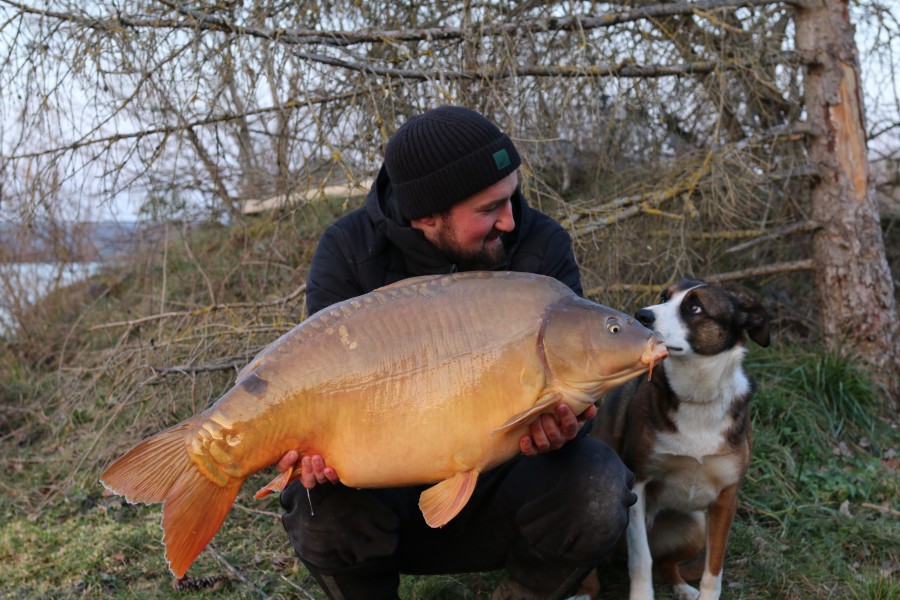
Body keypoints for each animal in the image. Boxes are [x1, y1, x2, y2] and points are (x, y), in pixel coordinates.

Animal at [580, 278, 768, 596]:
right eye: (662, 297)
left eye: (695, 307)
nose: (641, 315)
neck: (697, 398)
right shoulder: (639, 481)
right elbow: (641, 559)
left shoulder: (726, 498)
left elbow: (713, 570)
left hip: (696, 526)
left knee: (666, 564)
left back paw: (683, 589)